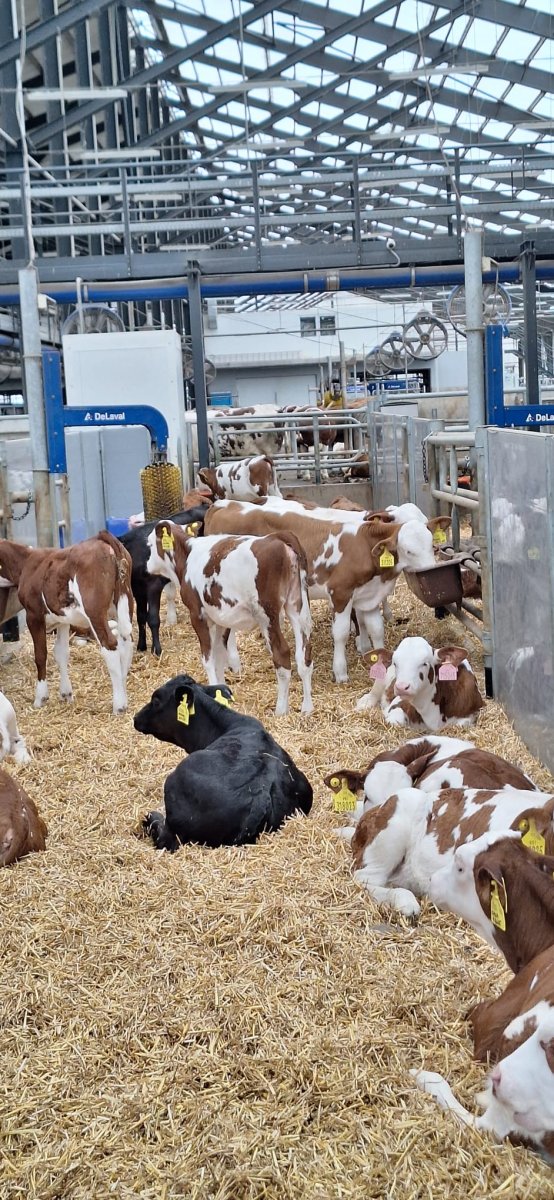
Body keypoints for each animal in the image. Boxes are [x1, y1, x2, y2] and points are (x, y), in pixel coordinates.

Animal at [0, 532, 134, 714]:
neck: (25, 564)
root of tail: (101, 537)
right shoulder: (62, 620)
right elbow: (61, 652)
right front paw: (66, 694)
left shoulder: (33, 615)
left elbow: (40, 655)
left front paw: (40, 698)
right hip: (125, 601)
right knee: (126, 641)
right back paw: (124, 695)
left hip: (95, 611)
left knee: (110, 646)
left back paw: (119, 705)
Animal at [146, 521, 313, 716]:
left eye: (150, 545)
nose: (147, 565)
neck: (187, 556)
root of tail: (277, 537)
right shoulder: (220, 619)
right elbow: (220, 657)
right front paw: (220, 691)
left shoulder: (198, 615)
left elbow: (208, 659)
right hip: (296, 606)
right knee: (304, 655)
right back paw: (307, 707)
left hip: (267, 615)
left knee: (282, 655)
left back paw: (281, 710)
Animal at [204, 499, 450, 682]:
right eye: (408, 550)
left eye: (431, 544)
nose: (432, 570)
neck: (363, 545)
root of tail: (223, 504)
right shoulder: (340, 592)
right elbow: (340, 633)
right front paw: (341, 672)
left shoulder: (369, 595)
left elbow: (376, 628)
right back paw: (235, 664)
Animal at [356, 637, 485, 729]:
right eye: (395, 663)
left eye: (424, 663)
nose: (401, 687)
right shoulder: (397, 704)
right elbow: (394, 720)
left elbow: (461, 724)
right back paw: (365, 702)